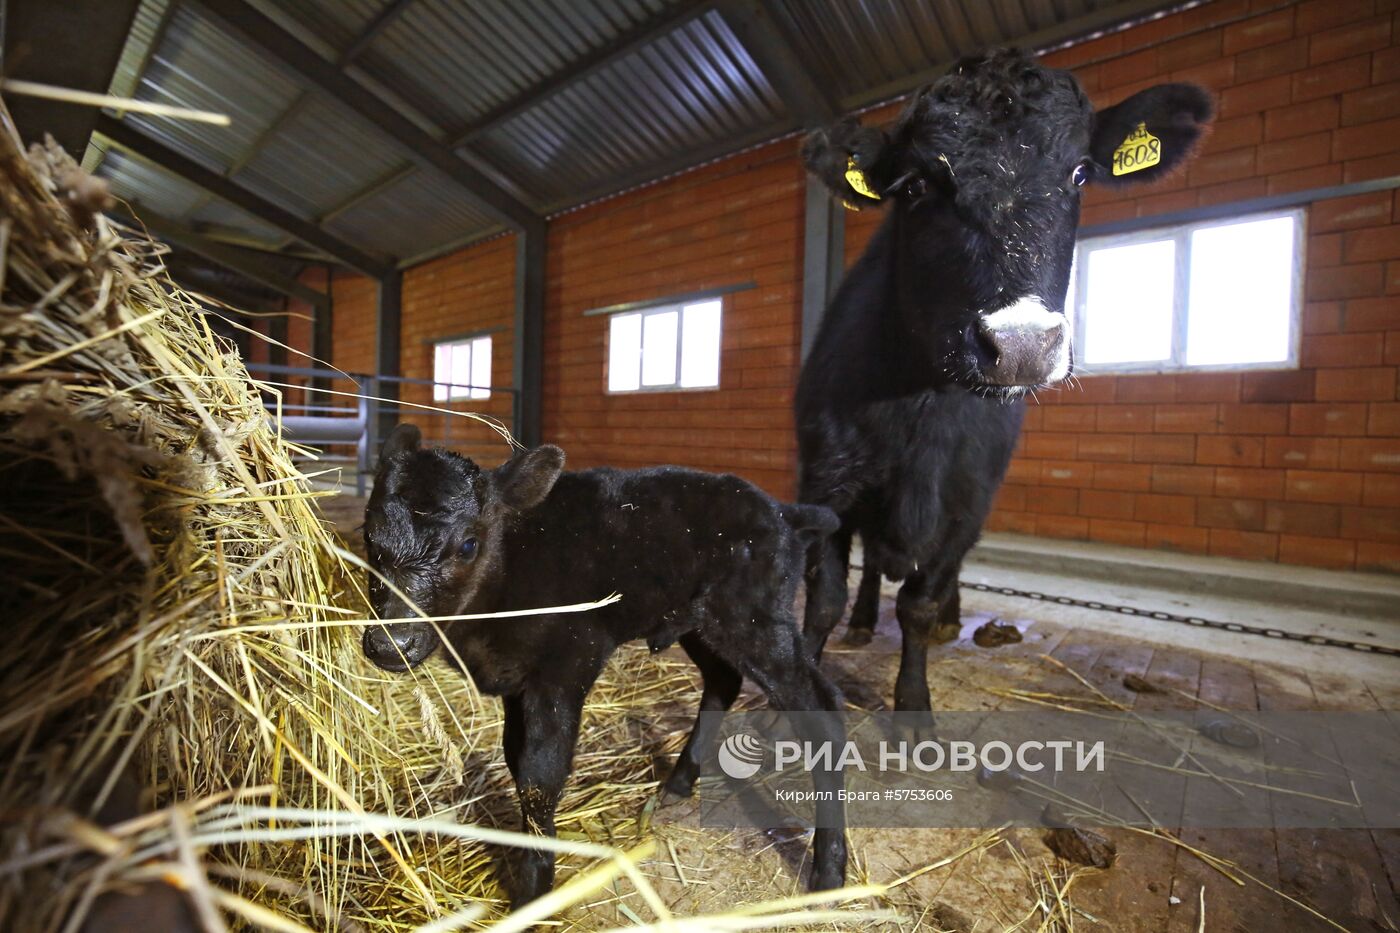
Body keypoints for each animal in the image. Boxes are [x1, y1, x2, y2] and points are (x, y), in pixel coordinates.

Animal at [355, 425, 845, 902]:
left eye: (468, 545)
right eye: (368, 537)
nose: (391, 644)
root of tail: (781, 511)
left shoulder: (566, 666)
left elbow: (540, 775)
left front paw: (533, 892)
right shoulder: (516, 678)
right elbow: (515, 757)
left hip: (754, 616)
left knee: (821, 710)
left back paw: (829, 872)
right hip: (697, 619)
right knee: (723, 680)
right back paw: (678, 784)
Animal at [800, 49, 1215, 717]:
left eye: (1080, 174)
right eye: (915, 185)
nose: (1021, 345)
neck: (922, 408)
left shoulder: (967, 498)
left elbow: (918, 605)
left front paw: (913, 704)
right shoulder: (827, 481)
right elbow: (824, 600)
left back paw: (951, 619)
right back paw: (865, 621)